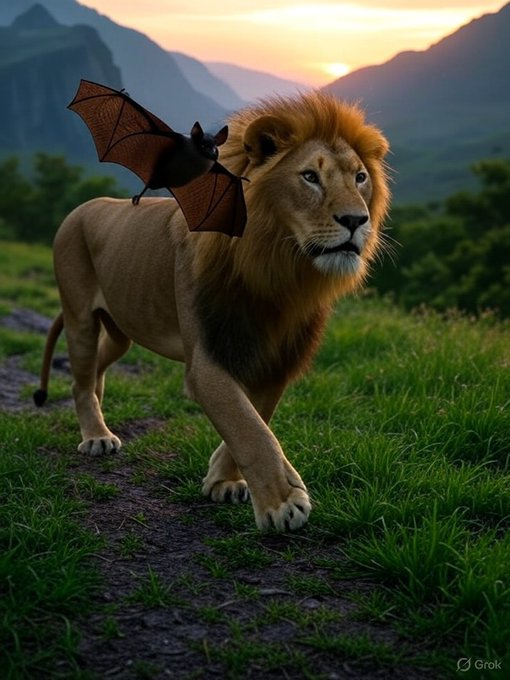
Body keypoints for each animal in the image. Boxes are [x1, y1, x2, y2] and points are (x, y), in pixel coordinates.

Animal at [35, 91, 390, 532]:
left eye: (360, 177)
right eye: (310, 176)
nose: (356, 220)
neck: (279, 272)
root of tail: (78, 210)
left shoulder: (274, 358)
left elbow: (256, 417)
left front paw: (224, 480)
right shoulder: (206, 358)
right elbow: (248, 426)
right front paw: (282, 501)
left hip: (120, 331)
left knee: (92, 372)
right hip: (80, 314)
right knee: (81, 379)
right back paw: (96, 436)